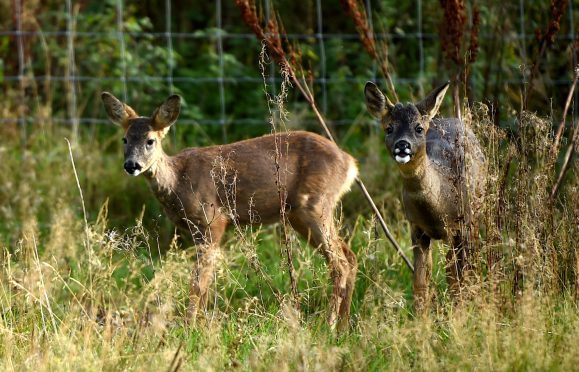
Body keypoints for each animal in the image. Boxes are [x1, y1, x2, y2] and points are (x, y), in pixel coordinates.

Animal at [102, 92, 360, 328]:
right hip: (299, 215)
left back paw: (328, 324)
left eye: (150, 140)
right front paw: (201, 324)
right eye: (124, 139)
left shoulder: (213, 220)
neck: (178, 181)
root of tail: (350, 163)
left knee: (339, 263)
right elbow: (205, 282)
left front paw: (190, 327)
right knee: (350, 256)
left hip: (315, 205)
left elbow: (198, 282)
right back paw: (343, 326)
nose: (132, 165)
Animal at [368, 83, 484, 312]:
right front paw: (421, 318)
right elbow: (421, 281)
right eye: (389, 128)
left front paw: (459, 314)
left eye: (419, 128)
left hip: (476, 213)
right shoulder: (416, 228)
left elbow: (455, 278)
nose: (402, 145)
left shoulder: (458, 227)